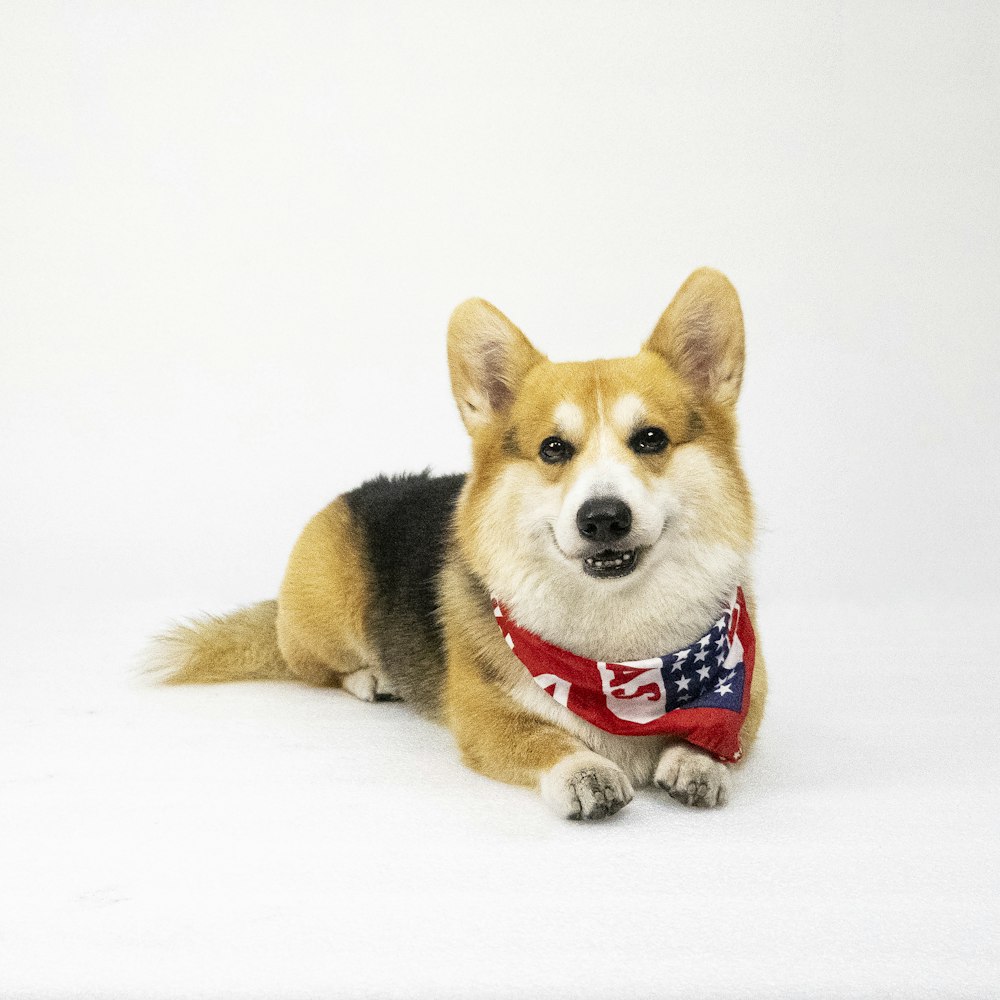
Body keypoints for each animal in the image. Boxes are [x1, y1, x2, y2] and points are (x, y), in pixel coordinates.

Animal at [152, 270, 768, 816]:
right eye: (552, 448)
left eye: (651, 439)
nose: (603, 519)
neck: (619, 649)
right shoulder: (481, 714)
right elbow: (544, 738)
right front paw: (585, 773)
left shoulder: (750, 691)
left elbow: (723, 737)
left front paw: (696, 761)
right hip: (323, 624)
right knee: (317, 667)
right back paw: (373, 677)